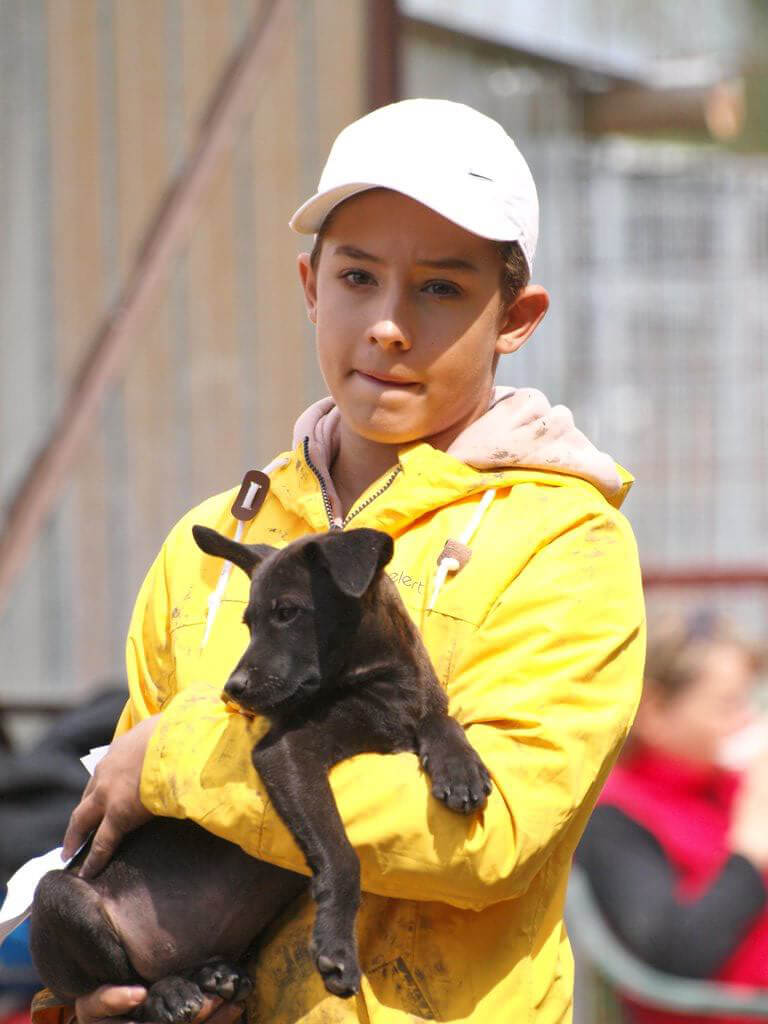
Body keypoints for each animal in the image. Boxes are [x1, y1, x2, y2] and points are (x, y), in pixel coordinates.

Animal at [30, 526, 491, 1022]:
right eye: (249, 622)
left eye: (287, 612)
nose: (233, 690)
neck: (385, 684)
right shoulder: (287, 750)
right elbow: (342, 854)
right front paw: (336, 948)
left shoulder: (412, 710)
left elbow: (442, 720)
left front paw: (461, 767)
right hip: (61, 899)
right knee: (126, 989)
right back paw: (169, 992)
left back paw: (214, 975)